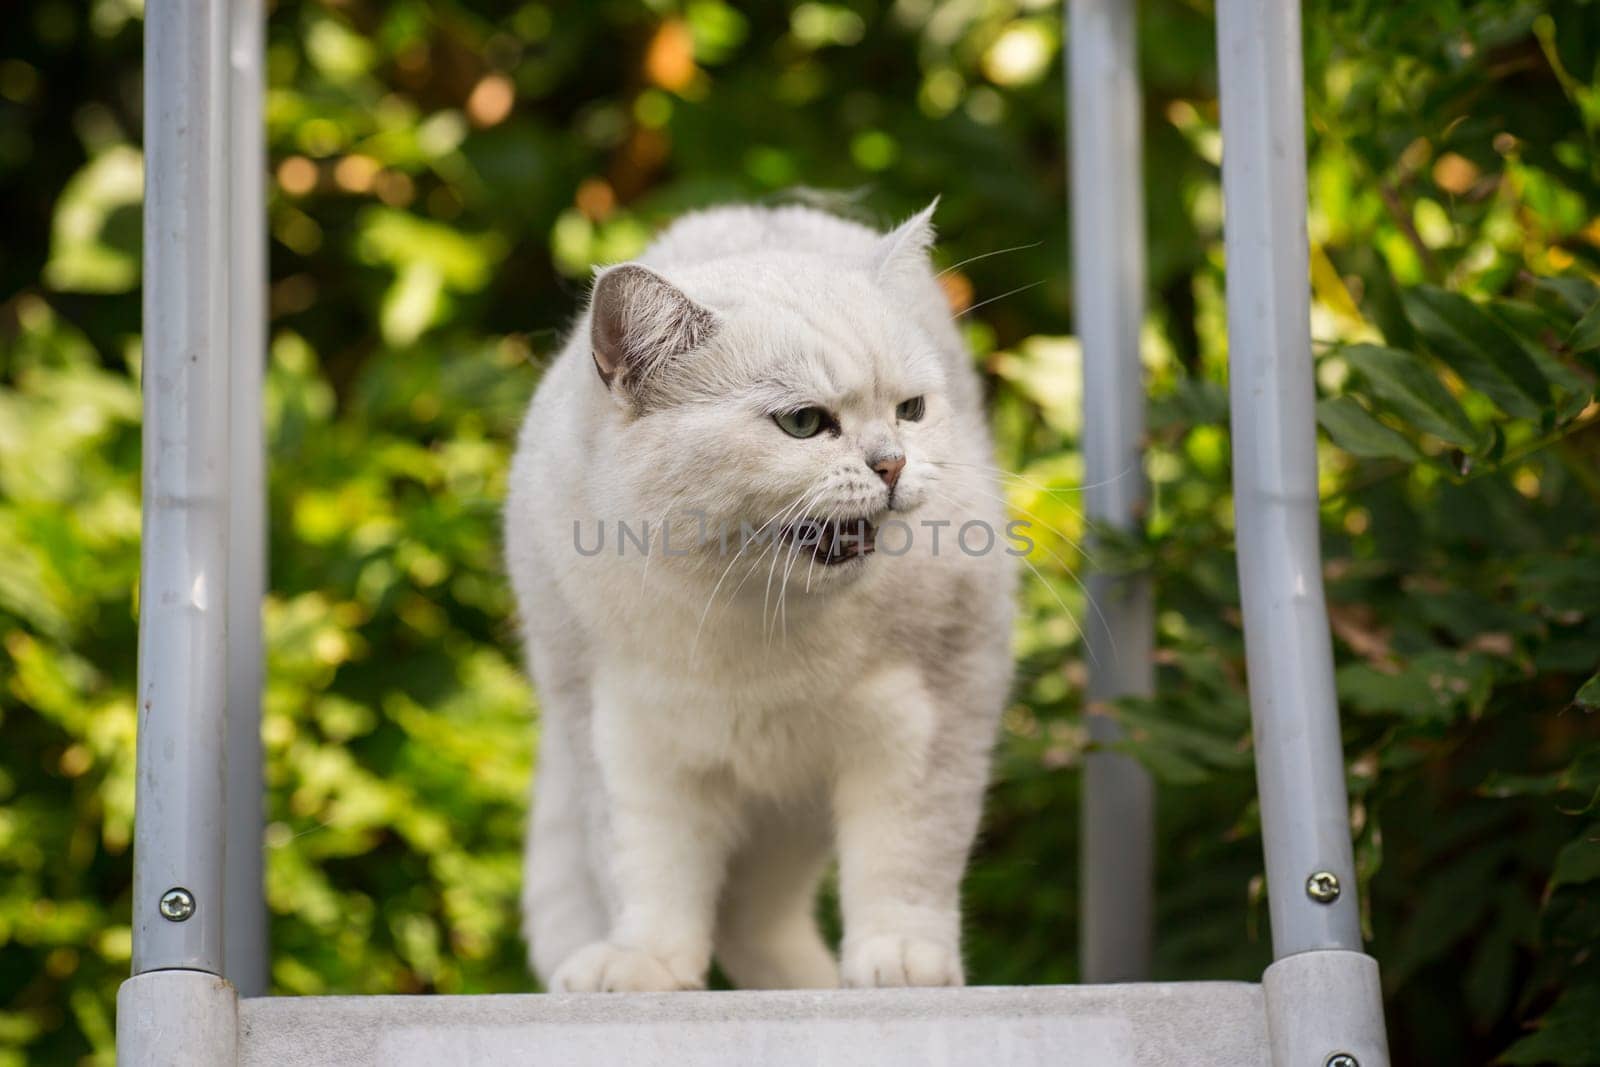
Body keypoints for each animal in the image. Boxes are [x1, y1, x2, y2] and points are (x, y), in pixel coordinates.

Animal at [505, 202, 1011, 991]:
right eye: (803, 423)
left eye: (911, 409)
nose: (893, 464)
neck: (754, 611)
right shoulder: (619, 734)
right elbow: (645, 868)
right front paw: (646, 963)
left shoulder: (934, 713)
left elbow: (907, 857)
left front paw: (901, 960)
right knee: (744, 916)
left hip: (794, 809)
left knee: (756, 916)